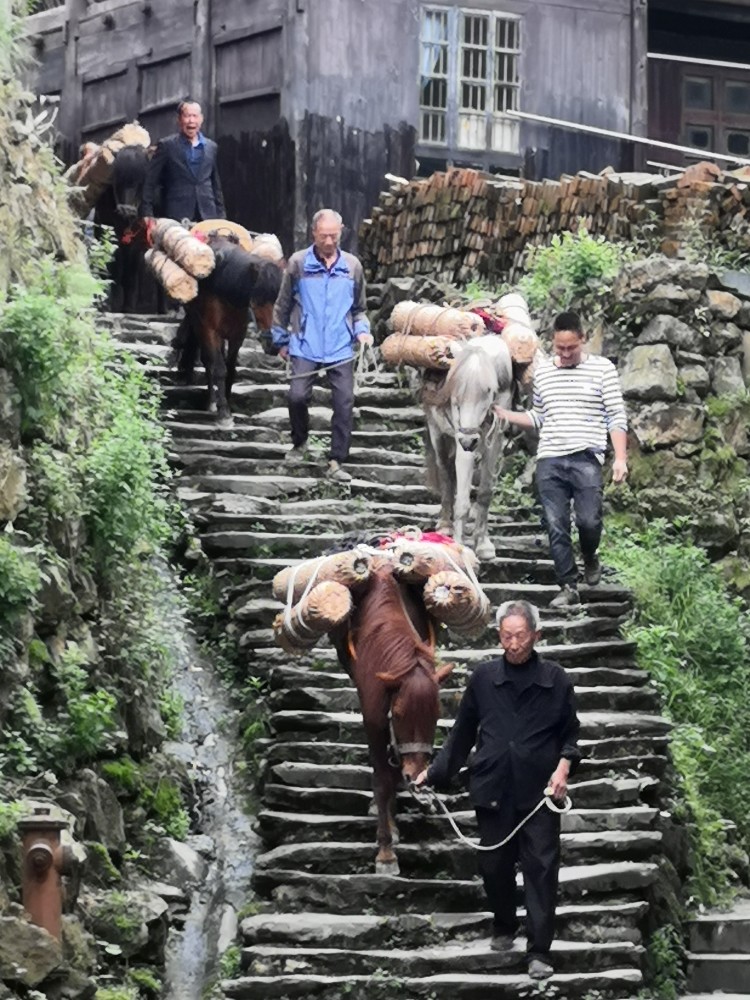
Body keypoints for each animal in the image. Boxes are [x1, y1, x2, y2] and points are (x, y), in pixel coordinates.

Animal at [332, 564, 456, 876]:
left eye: (435, 715)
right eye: (398, 714)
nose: (417, 774)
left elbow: (392, 776)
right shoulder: (374, 721)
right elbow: (381, 782)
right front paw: (386, 853)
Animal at [424, 338, 516, 564]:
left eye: (489, 391)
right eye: (455, 395)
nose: (468, 440)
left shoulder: (496, 436)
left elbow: (485, 492)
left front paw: (483, 545)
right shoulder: (460, 435)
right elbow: (463, 501)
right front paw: (460, 547)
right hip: (436, 430)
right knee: (445, 472)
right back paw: (445, 527)